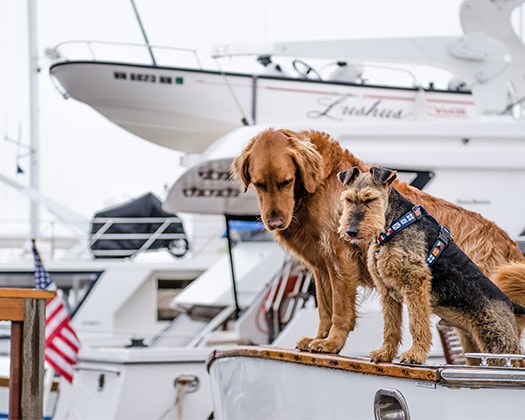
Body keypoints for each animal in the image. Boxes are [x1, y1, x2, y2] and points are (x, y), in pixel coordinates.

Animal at [231, 129, 524, 354]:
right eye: (258, 184)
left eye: (286, 181)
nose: (274, 222)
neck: (318, 186)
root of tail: (511, 246)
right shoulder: (320, 265)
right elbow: (325, 308)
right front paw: (318, 338)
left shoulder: (341, 259)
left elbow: (340, 310)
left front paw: (331, 343)